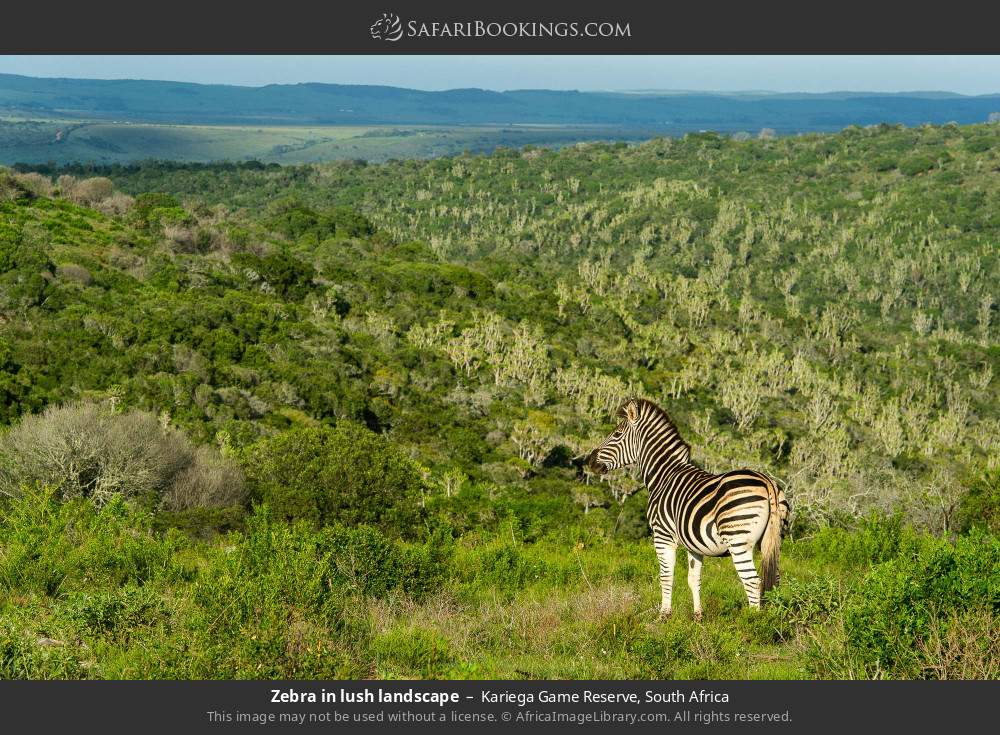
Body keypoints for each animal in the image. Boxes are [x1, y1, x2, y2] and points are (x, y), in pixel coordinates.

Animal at [586, 398, 789, 620]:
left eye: (616, 435)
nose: (590, 461)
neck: (664, 475)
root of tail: (767, 481)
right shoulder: (694, 544)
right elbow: (694, 579)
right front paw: (698, 616)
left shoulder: (662, 535)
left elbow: (666, 576)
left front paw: (664, 615)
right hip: (773, 539)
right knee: (775, 579)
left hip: (738, 539)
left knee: (752, 580)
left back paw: (754, 622)